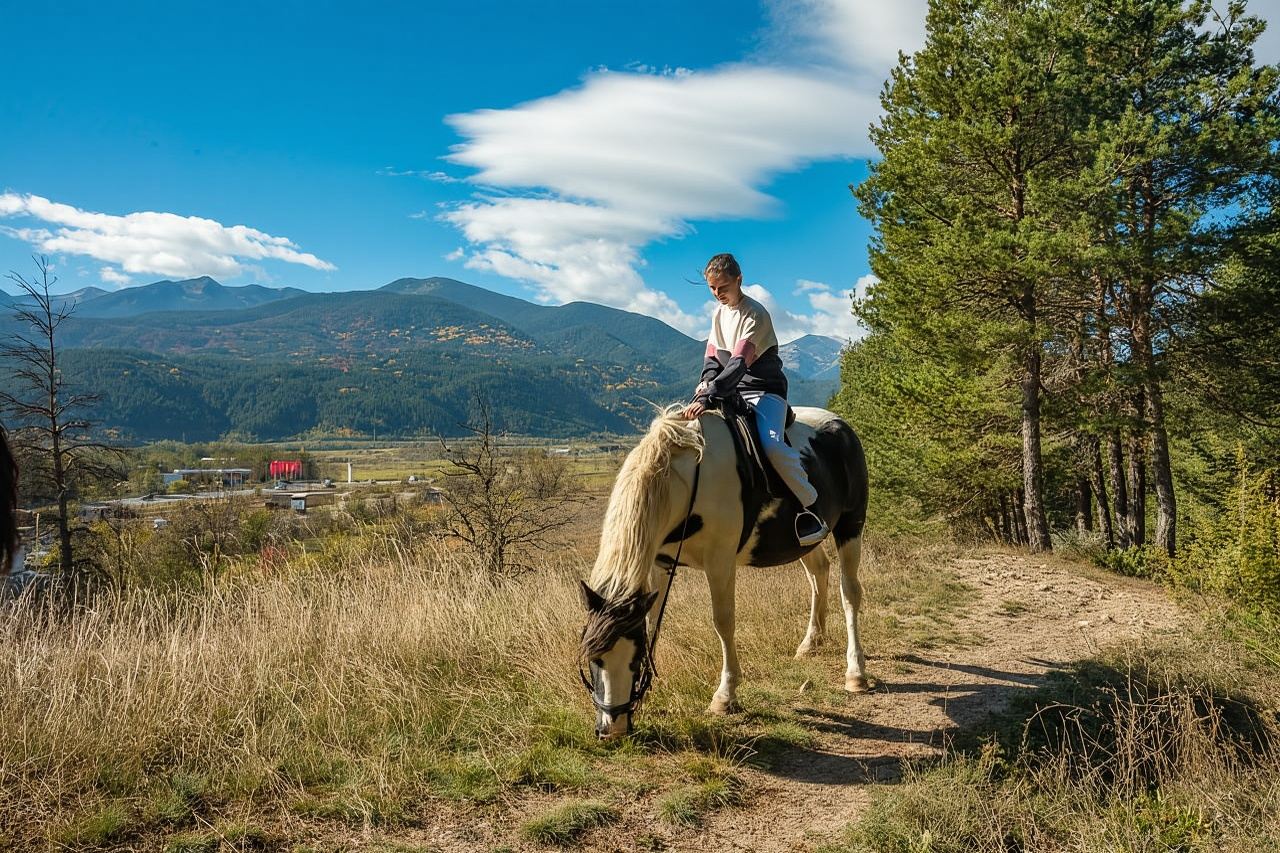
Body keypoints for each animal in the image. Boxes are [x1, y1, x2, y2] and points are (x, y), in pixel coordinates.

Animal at [578, 404, 869, 739]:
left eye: (634, 658)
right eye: (593, 657)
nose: (611, 729)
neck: (687, 482)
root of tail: (841, 425)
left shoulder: (720, 561)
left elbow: (723, 622)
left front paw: (725, 695)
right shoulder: (659, 564)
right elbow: (652, 626)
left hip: (850, 525)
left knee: (850, 592)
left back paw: (856, 673)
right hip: (804, 542)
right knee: (819, 572)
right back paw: (811, 643)